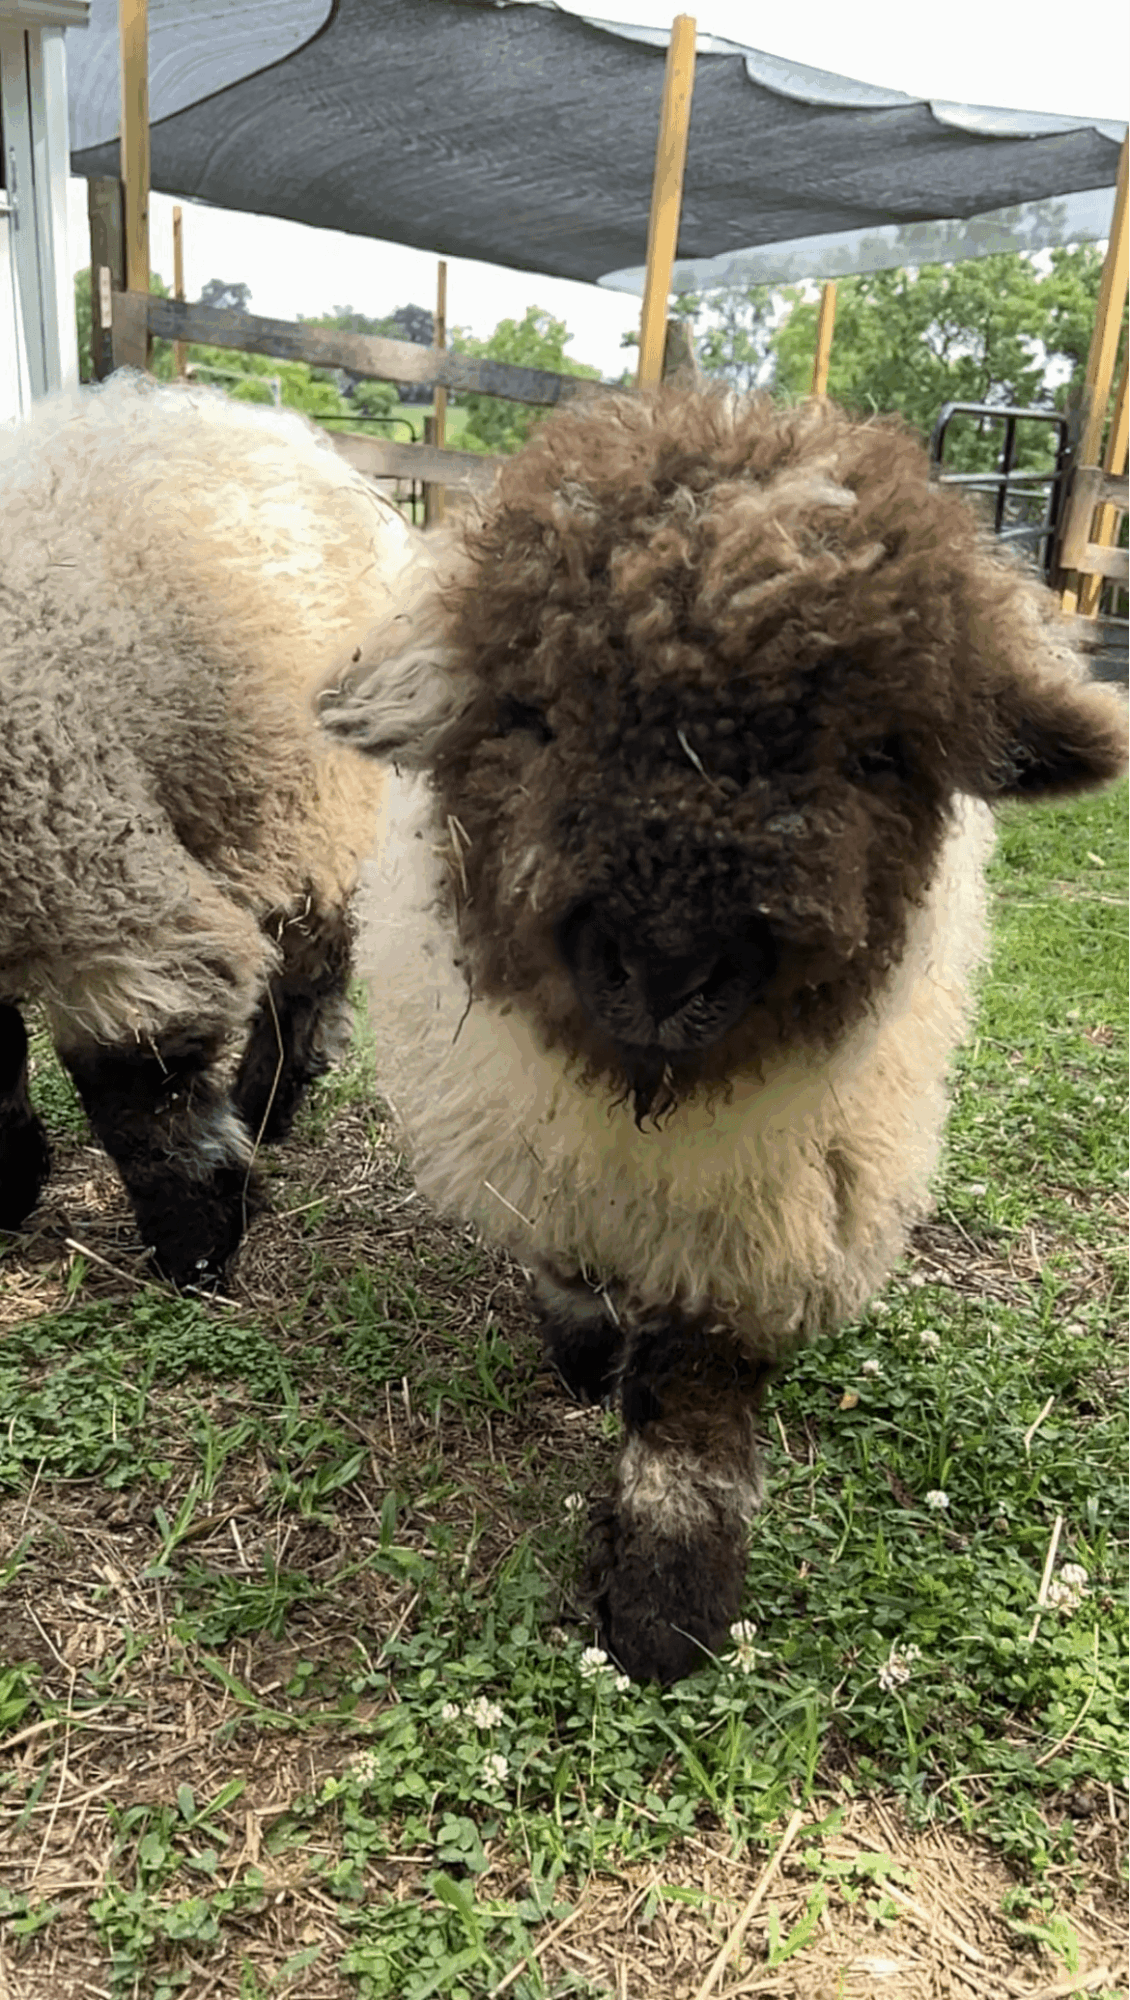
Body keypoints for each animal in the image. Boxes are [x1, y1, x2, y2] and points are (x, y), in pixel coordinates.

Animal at [0, 372, 412, 1287]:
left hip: (309, 800)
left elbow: (139, 1082)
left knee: (313, 961)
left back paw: (268, 1100)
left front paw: (200, 1241)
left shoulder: (96, 877)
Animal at [320, 385, 1129, 1685]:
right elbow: (569, 1264)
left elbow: (697, 1390)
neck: (648, 1096)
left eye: (879, 751)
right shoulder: (533, 1136)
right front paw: (585, 1351)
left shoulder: (776, 1205)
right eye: (528, 717)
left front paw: (666, 1602)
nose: (662, 966)